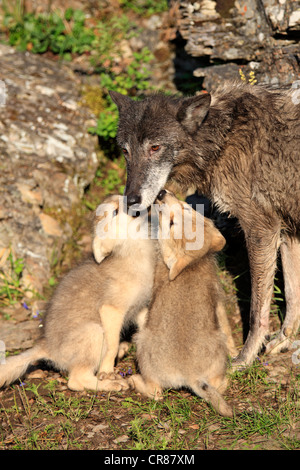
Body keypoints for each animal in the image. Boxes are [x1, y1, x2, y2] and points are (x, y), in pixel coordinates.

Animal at [0, 194, 158, 390]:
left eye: (121, 196)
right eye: (115, 211)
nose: (132, 197)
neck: (135, 256)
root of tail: (46, 346)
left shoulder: (140, 307)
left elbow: (145, 328)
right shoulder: (111, 309)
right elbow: (111, 346)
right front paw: (107, 371)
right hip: (94, 332)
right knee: (76, 380)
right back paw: (111, 384)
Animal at [109, 81, 300, 368]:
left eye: (155, 148)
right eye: (125, 151)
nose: (131, 200)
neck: (224, 139)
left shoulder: (262, 229)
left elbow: (257, 310)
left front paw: (245, 358)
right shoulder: (288, 230)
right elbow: (291, 293)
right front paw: (284, 341)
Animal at [129, 189, 234, 416]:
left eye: (171, 223)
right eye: (186, 207)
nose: (161, 193)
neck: (192, 265)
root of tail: (191, 375)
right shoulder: (218, 301)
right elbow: (228, 328)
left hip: (141, 346)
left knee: (156, 393)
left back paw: (133, 380)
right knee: (217, 384)